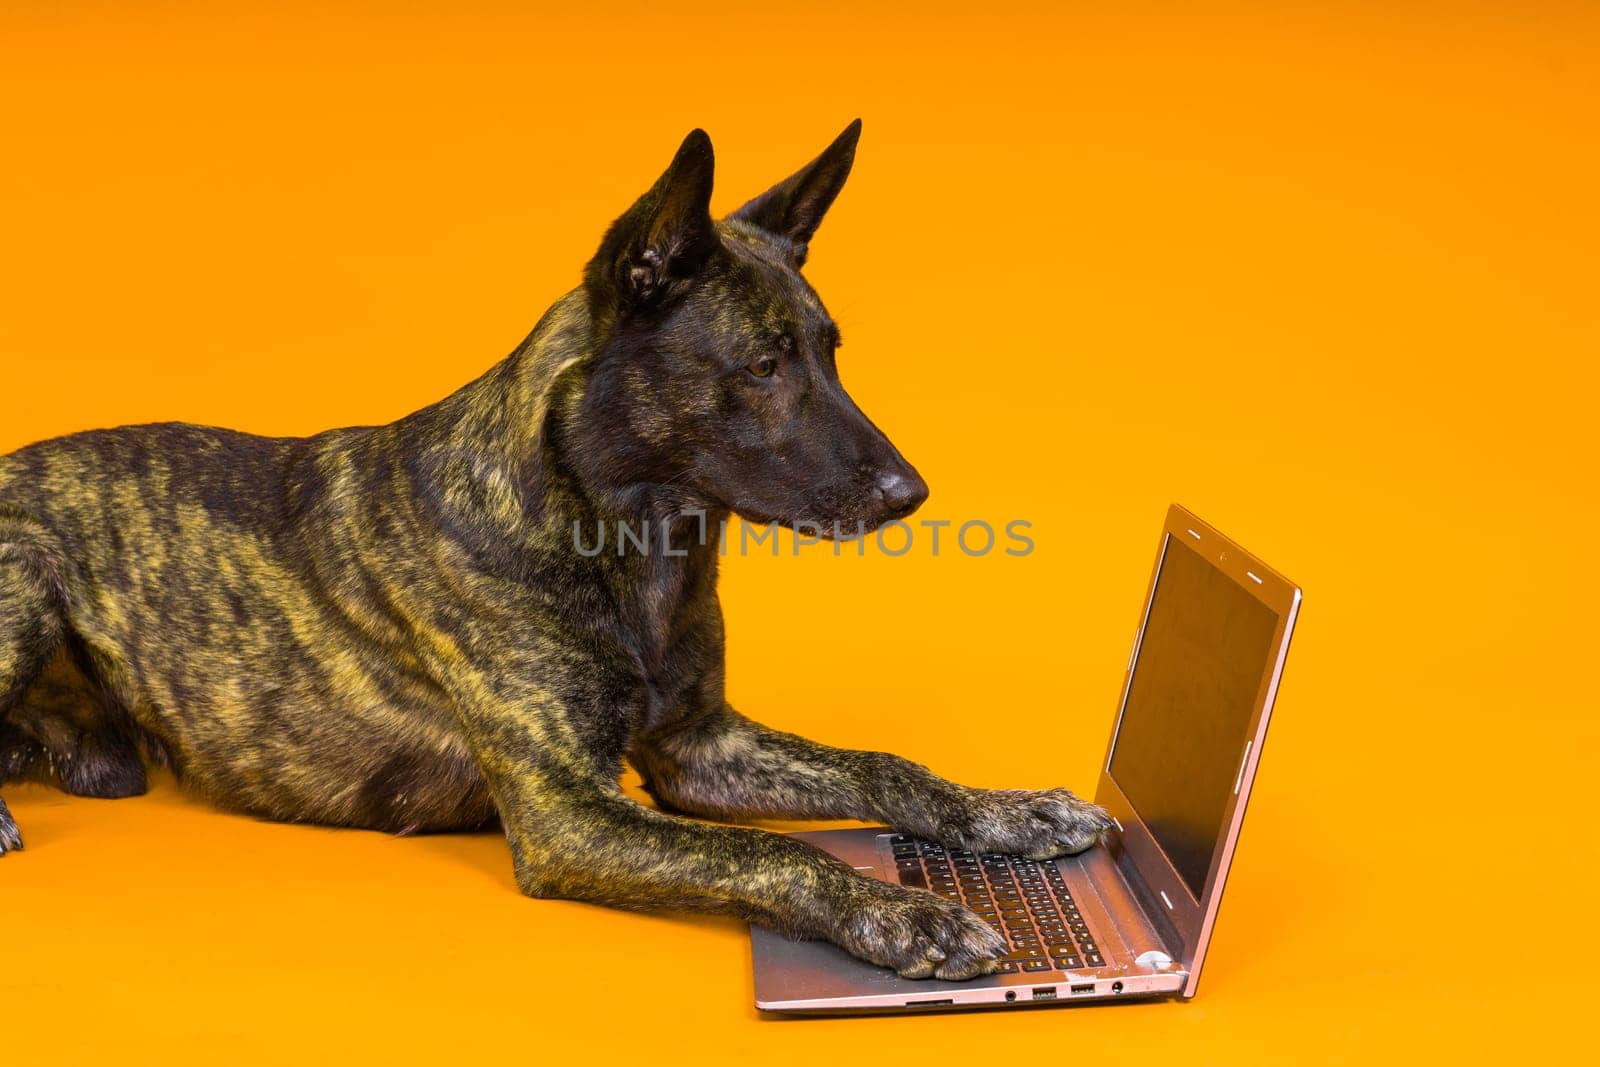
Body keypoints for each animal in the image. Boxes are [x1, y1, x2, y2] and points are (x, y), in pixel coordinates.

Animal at [0, 120, 1107, 979]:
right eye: (762, 365)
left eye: (832, 352)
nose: (910, 496)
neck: (633, 534)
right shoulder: (568, 812)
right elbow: (773, 854)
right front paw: (906, 913)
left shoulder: (701, 746)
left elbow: (884, 766)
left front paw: (1011, 811)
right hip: (27, 570)